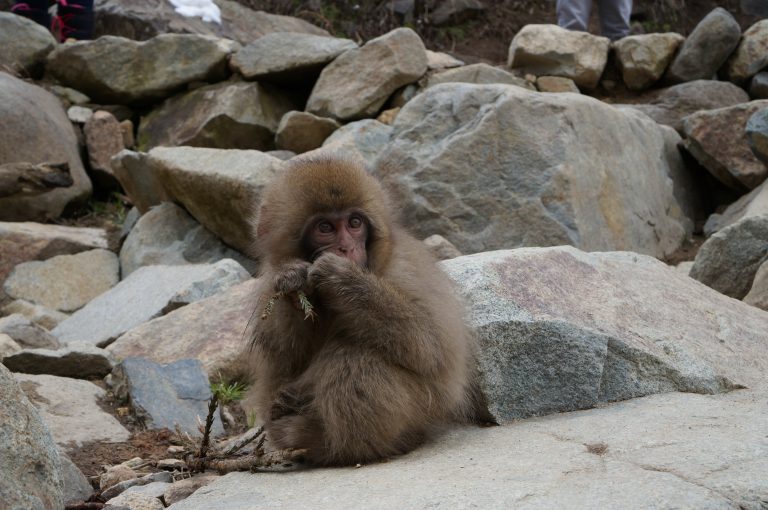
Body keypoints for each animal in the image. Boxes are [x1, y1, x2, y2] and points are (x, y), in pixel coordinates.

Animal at [243, 154, 476, 466]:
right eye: (325, 228)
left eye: (354, 223)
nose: (346, 248)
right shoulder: (270, 281)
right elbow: (284, 358)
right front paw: (294, 281)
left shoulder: (406, 268)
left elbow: (431, 345)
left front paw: (344, 280)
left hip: (426, 406)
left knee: (355, 357)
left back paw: (341, 445)